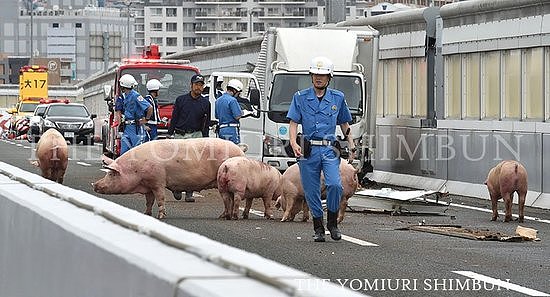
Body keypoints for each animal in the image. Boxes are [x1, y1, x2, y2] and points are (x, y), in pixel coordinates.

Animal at [94, 138, 245, 219]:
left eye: (111, 174)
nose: (94, 185)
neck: (135, 169)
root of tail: (240, 151)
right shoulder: (148, 186)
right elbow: (149, 201)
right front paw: (146, 214)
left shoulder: (158, 181)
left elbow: (160, 199)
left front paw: (161, 216)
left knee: (228, 199)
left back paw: (223, 216)